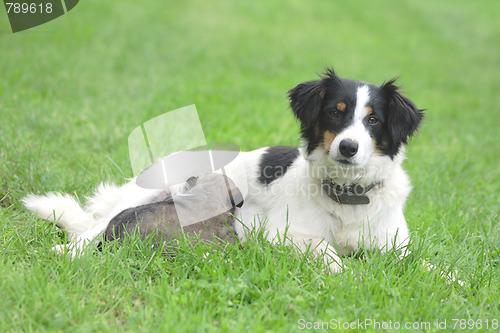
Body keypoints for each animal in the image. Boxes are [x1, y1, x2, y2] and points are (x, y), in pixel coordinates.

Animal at [22, 68, 422, 272]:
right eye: (335, 113)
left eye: (373, 120)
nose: (348, 147)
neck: (348, 197)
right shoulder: (285, 234)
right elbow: (331, 256)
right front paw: (347, 274)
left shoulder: (396, 247)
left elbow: (426, 268)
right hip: (139, 199)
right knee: (90, 231)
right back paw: (66, 252)